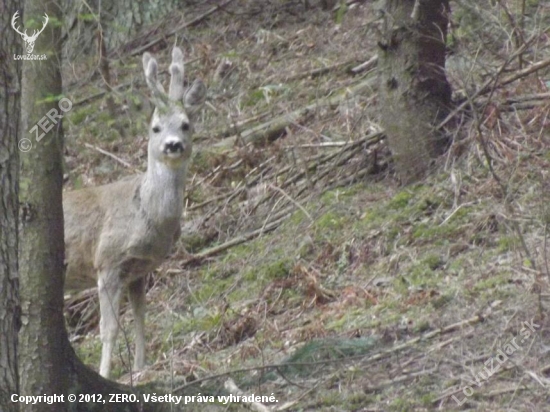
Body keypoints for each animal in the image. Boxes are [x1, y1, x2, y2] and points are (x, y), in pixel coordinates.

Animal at [62, 46, 208, 378]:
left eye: (186, 124)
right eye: (155, 128)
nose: (173, 145)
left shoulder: (139, 270)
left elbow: (141, 317)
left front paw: (141, 368)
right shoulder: (108, 261)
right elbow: (109, 329)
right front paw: (106, 374)